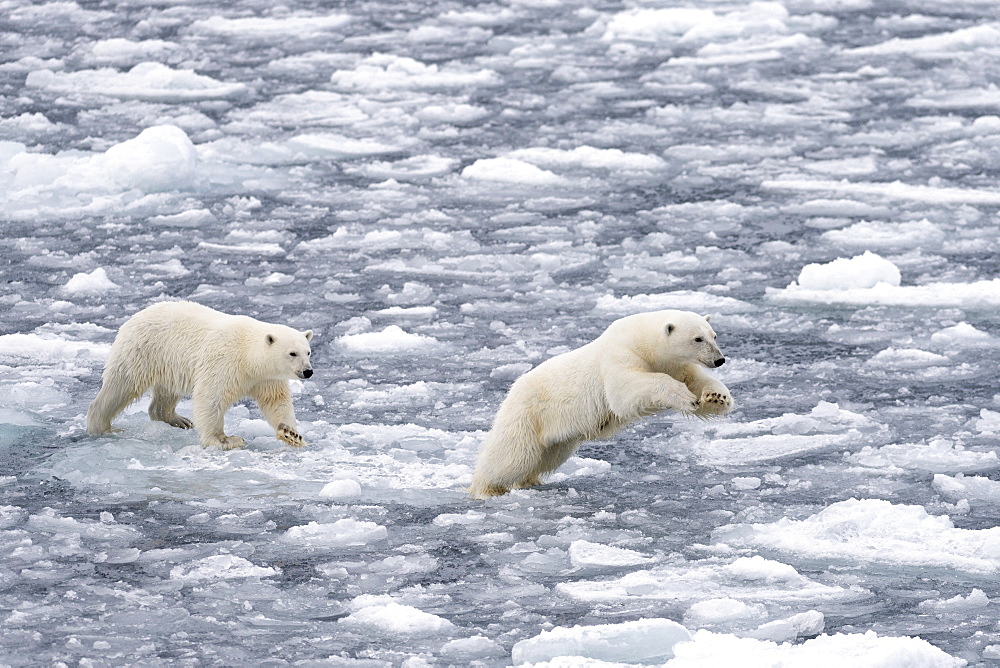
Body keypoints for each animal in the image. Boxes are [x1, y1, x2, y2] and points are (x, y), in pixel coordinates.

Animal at [86, 302, 314, 448]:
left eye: (308, 351)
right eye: (292, 353)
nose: (308, 371)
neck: (248, 355)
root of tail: (136, 316)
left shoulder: (266, 378)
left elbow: (276, 401)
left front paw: (292, 434)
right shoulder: (225, 362)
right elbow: (211, 398)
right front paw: (225, 440)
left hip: (168, 363)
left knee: (165, 393)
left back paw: (178, 420)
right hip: (143, 351)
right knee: (121, 386)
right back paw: (103, 427)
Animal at [468, 310, 736, 498]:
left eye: (713, 335)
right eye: (697, 338)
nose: (719, 359)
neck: (645, 343)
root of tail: (513, 390)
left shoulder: (676, 364)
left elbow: (698, 380)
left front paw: (716, 397)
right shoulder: (620, 355)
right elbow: (624, 390)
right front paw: (684, 396)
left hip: (559, 436)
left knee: (545, 458)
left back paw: (530, 480)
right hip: (528, 414)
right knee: (511, 456)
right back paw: (486, 488)